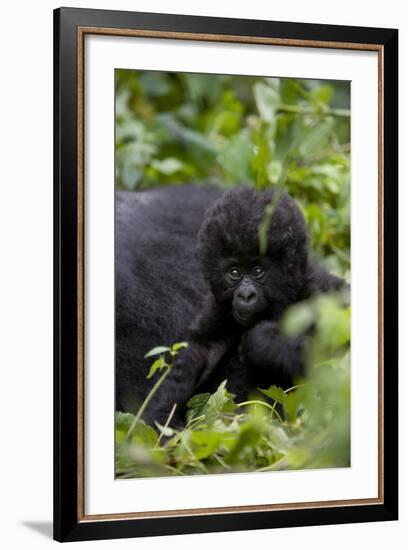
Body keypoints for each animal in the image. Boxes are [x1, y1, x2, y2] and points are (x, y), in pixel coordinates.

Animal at [145, 187, 342, 426]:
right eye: (234, 272)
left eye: (258, 271)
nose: (246, 295)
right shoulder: (217, 306)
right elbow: (197, 351)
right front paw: (161, 417)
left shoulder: (320, 290)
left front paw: (262, 341)